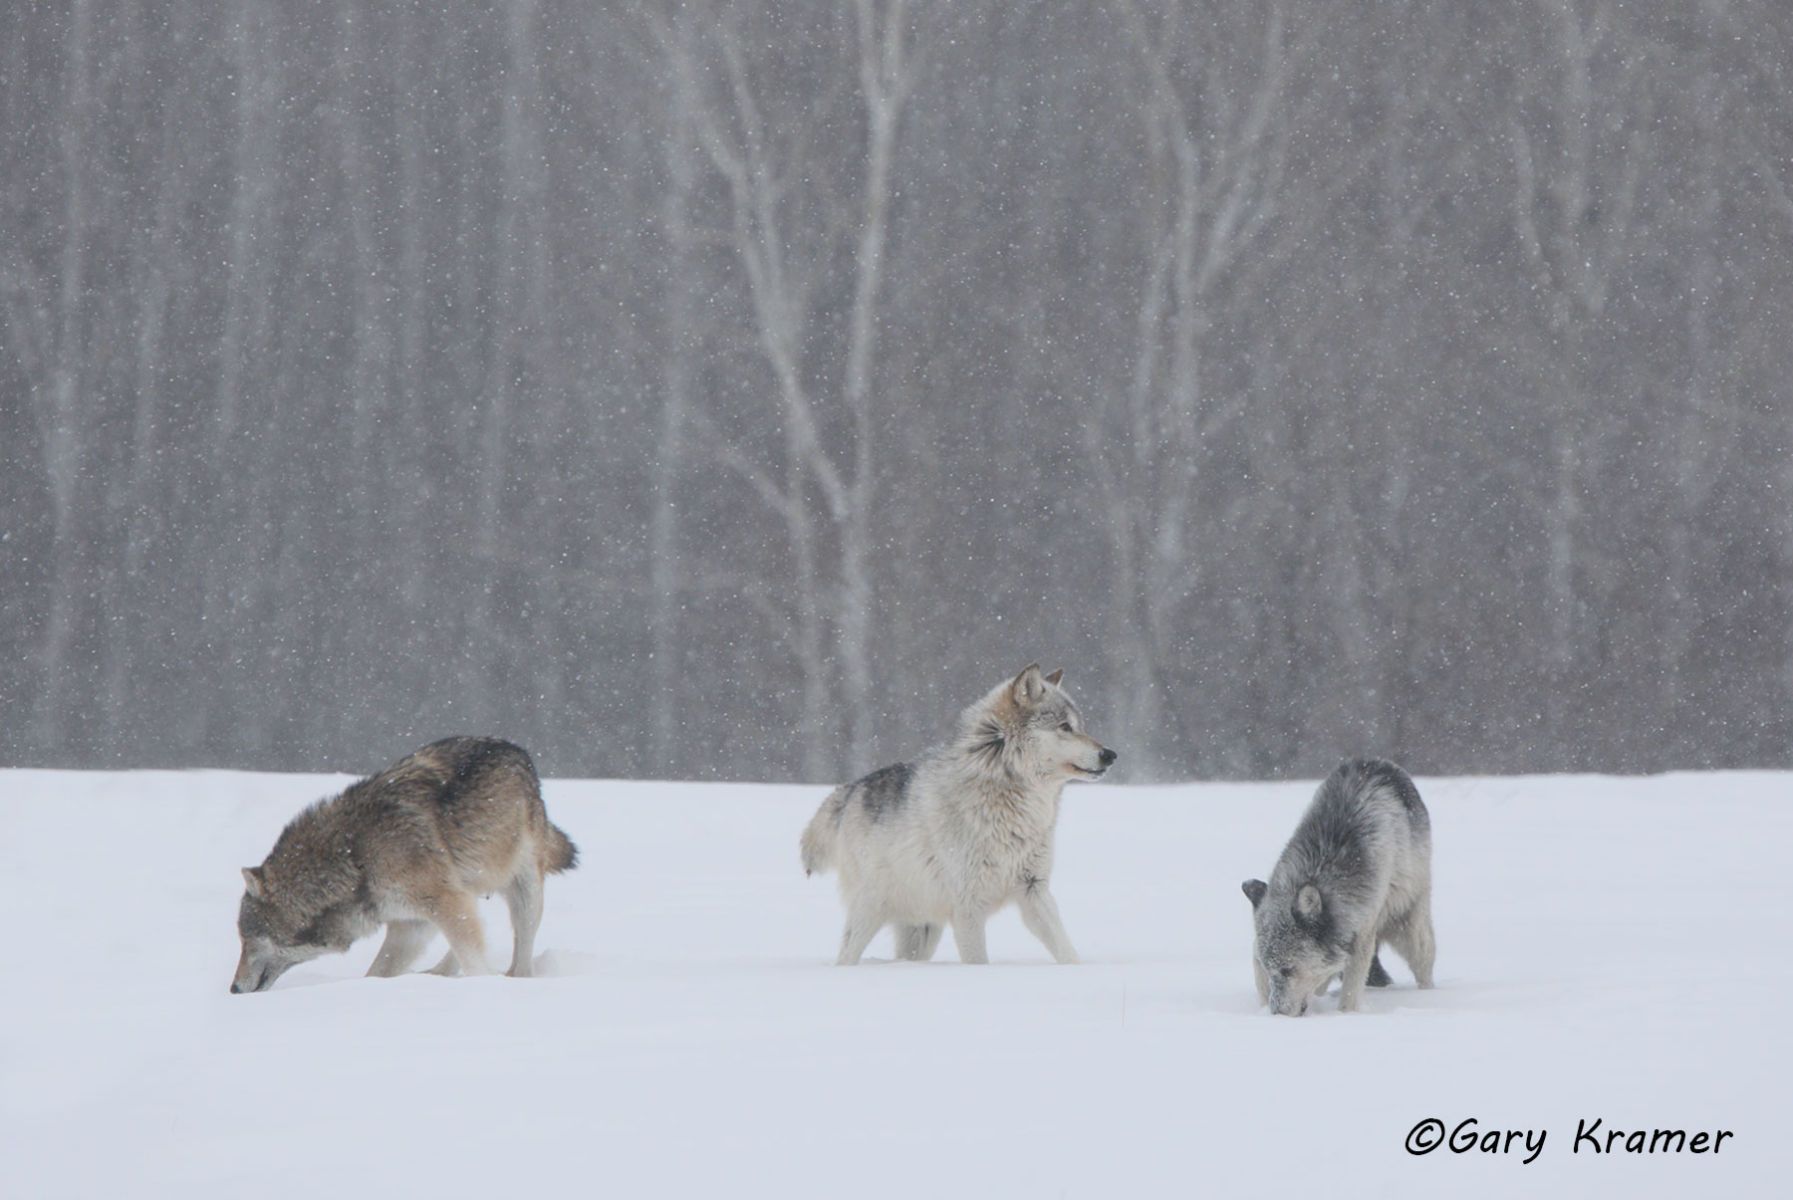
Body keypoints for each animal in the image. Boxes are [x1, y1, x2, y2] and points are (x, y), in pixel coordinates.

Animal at [231, 736, 578, 993]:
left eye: (245, 939)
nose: (233, 989)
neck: (355, 856)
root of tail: (518, 751)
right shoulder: (412, 924)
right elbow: (377, 972)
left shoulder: (444, 903)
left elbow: (473, 959)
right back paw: (437, 975)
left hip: (525, 896)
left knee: (521, 961)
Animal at [800, 664, 1116, 965]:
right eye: (1065, 727)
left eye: (1080, 725)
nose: (1110, 755)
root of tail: (848, 790)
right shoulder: (968, 906)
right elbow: (978, 961)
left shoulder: (1034, 890)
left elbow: (1066, 950)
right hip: (871, 911)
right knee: (845, 957)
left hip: (923, 930)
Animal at [1242, 757, 1435, 1015]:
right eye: (1268, 968)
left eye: (1288, 970)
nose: (1277, 1015)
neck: (1325, 864)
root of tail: (1377, 761)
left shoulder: (1362, 933)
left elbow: (1351, 989)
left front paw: (1344, 1015)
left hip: (1410, 928)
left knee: (1424, 966)